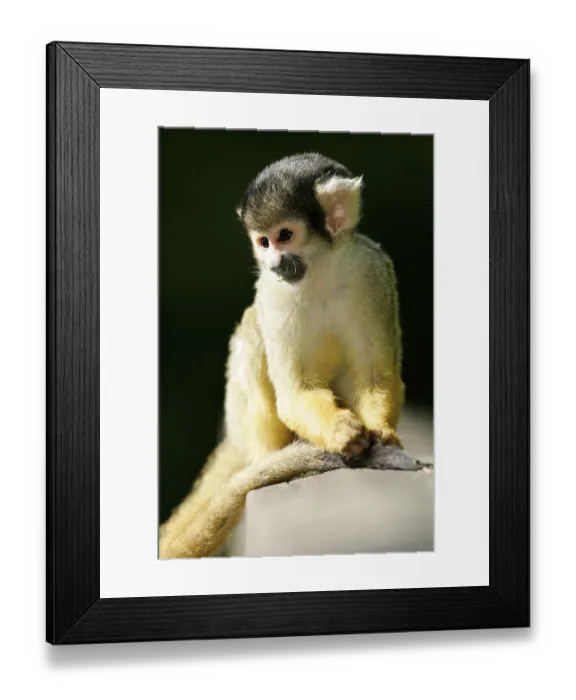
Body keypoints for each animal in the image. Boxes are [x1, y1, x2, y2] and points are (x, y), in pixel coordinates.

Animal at [159, 152, 407, 559]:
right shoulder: (274, 292)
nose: (274, 262)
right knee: (252, 329)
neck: (320, 271)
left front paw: (382, 433)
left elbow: (374, 377)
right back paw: (270, 463)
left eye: (285, 236)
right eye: (263, 242)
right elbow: (295, 393)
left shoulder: (371, 272)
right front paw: (341, 433)